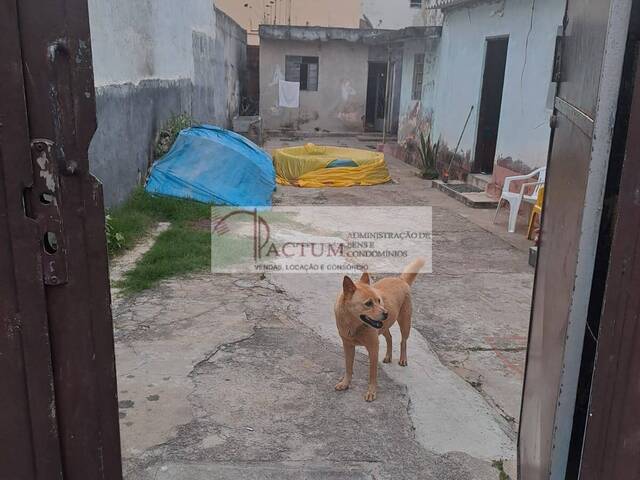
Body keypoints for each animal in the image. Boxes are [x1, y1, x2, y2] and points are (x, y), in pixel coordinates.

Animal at [336, 258, 424, 402]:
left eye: (378, 300)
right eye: (368, 304)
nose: (386, 313)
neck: (354, 325)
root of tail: (400, 279)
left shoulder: (373, 349)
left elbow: (372, 374)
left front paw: (371, 392)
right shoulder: (348, 346)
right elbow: (348, 367)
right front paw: (345, 383)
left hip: (405, 323)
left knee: (403, 341)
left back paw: (403, 359)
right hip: (384, 326)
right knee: (390, 337)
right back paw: (388, 356)